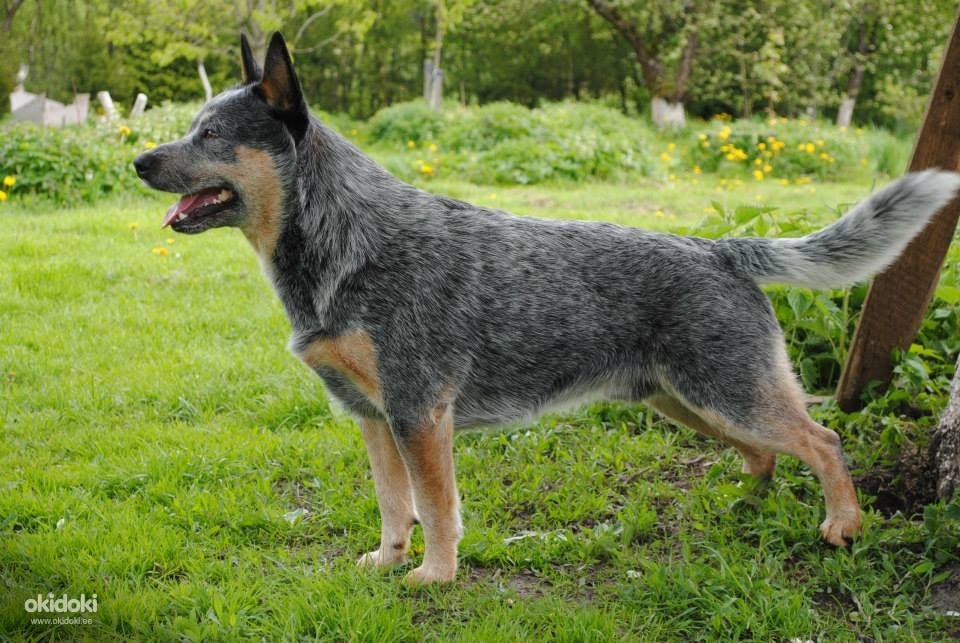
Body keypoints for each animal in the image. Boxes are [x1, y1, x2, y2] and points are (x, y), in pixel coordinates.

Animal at [133, 32, 960, 588]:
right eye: (191, 125)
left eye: (211, 133)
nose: (138, 160)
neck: (348, 242)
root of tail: (723, 247)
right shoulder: (371, 416)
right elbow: (393, 506)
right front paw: (385, 561)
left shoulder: (418, 413)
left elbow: (436, 507)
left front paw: (434, 576)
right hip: (686, 399)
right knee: (762, 454)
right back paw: (741, 507)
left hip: (729, 391)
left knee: (822, 439)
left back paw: (842, 525)